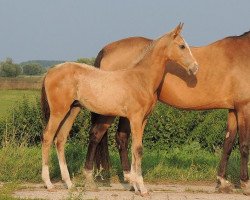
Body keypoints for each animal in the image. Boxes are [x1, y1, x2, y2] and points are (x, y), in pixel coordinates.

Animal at [41, 23, 198, 195]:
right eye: (182, 46)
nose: (195, 67)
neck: (141, 79)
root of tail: (50, 71)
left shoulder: (143, 119)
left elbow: (135, 149)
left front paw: (135, 186)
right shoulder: (135, 118)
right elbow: (138, 149)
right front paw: (142, 188)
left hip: (72, 111)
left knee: (60, 140)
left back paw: (69, 184)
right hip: (58, 111)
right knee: (48, 137)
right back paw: (48, 183)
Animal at [87, 31, 250, 194]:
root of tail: (107, 49)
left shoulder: (234, 109)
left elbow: (228, 143)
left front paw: (222, 182)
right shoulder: (244, 107)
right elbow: (244, 145)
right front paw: (245, 184)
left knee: (120, 137)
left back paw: (130, 181)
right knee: (99, 135)